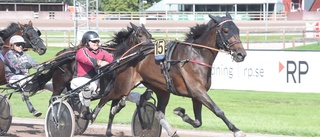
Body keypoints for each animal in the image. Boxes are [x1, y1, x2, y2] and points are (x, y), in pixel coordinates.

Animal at [85, 12, 248, 137]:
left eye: (237, 30)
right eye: (226, 30)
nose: (241, 54)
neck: (196, 55)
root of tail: (128, 54)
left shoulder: (197, 94)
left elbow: (197, 122)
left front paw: (180, 112)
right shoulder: (197, 91)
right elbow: (218, 110)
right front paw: (236, 130)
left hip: (161, 89)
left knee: (155, 111)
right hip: (123, 86)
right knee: (105, 98)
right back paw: (91, 114)